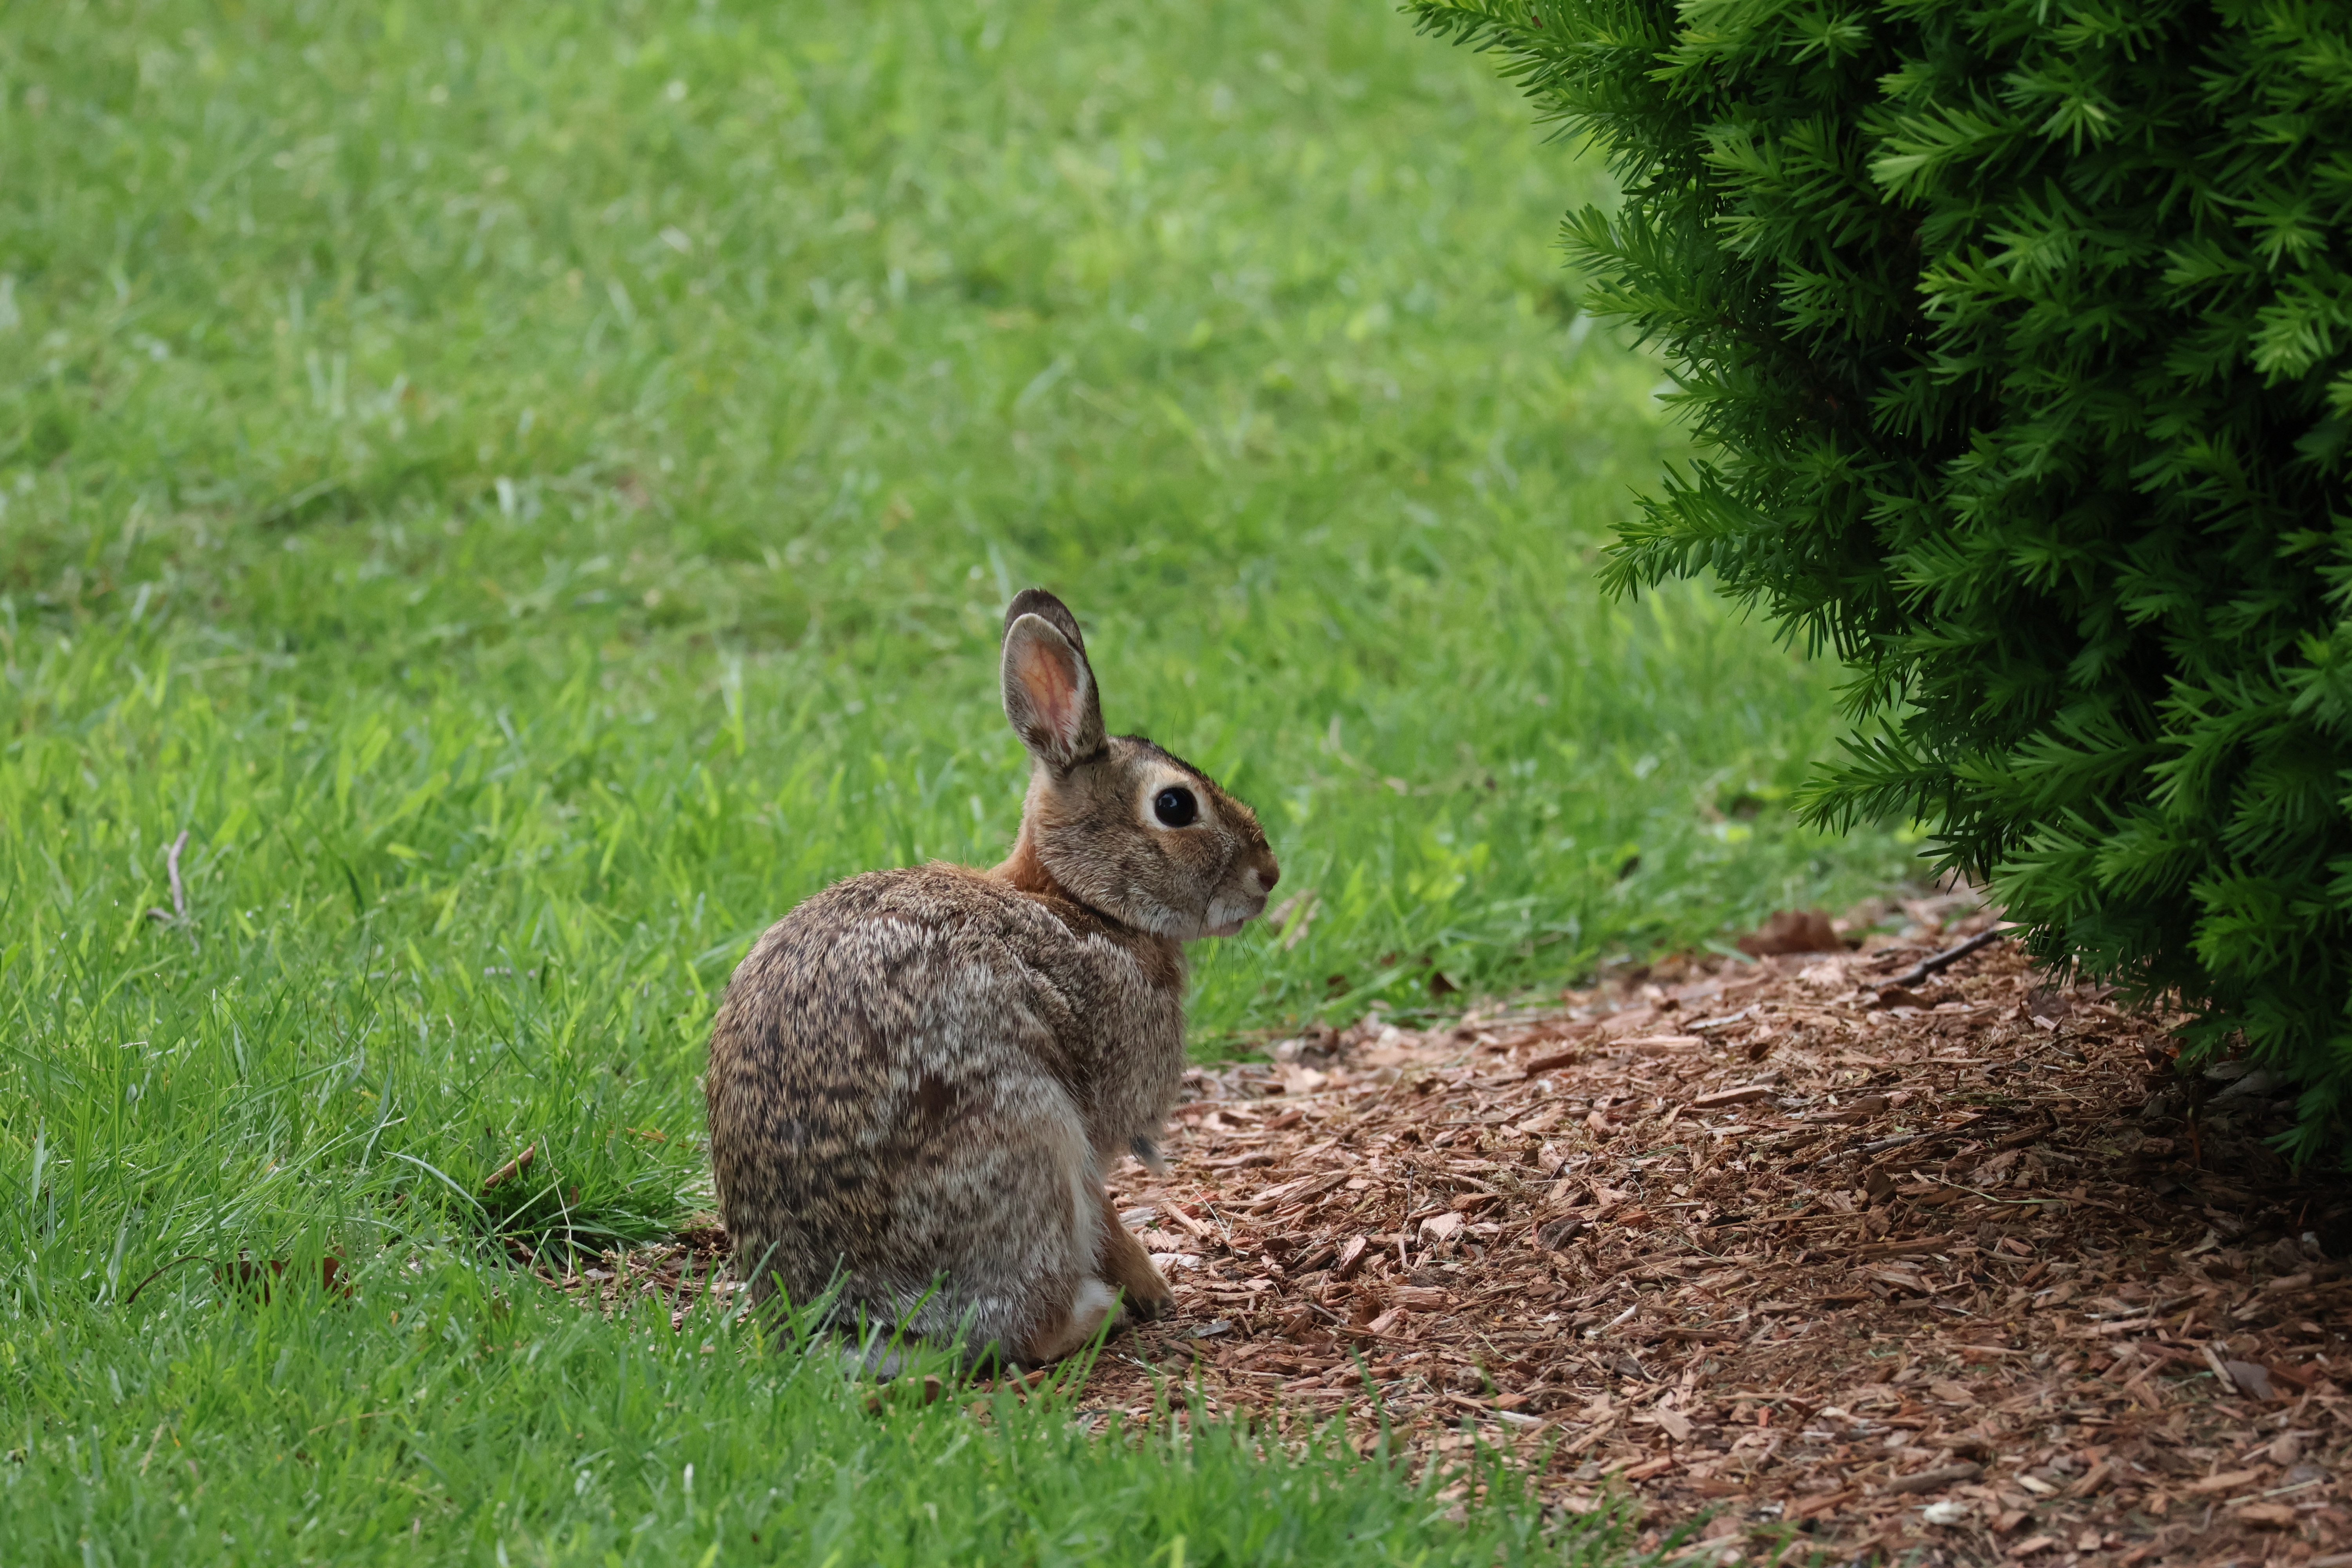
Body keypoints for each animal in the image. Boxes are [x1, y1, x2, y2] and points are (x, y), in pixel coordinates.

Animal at [705, 588, 1280, 1368]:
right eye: (1175, 806)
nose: (1268, 875)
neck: (1081, 902)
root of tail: (852, 1315)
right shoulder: (1093, 1129)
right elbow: (1103, 1212)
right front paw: (1153, 1288)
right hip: (1024, 1135)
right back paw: (1094, 1314)